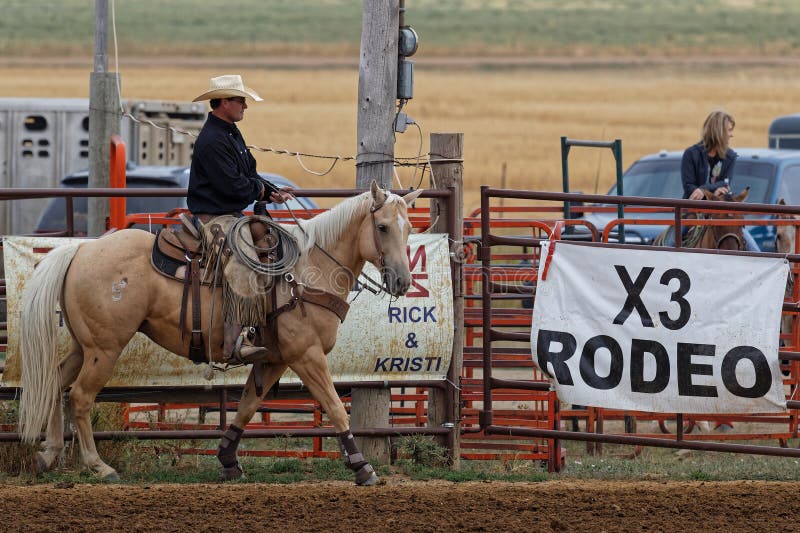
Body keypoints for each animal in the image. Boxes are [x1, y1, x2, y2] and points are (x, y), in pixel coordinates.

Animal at [17, 181, 424, 484]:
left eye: (408, 228)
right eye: (382, 227)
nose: (402, 282)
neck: (307, 271)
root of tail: (80, 250)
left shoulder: (274, 359)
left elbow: (247, 406)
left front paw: (228, 459)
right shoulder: (306, 355)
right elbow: (337, 408)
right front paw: (362, 467)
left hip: (84, 345)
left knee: (55, 383)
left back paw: (48, 454)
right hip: (105, 348)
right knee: (80, 397)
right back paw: (99, 466)